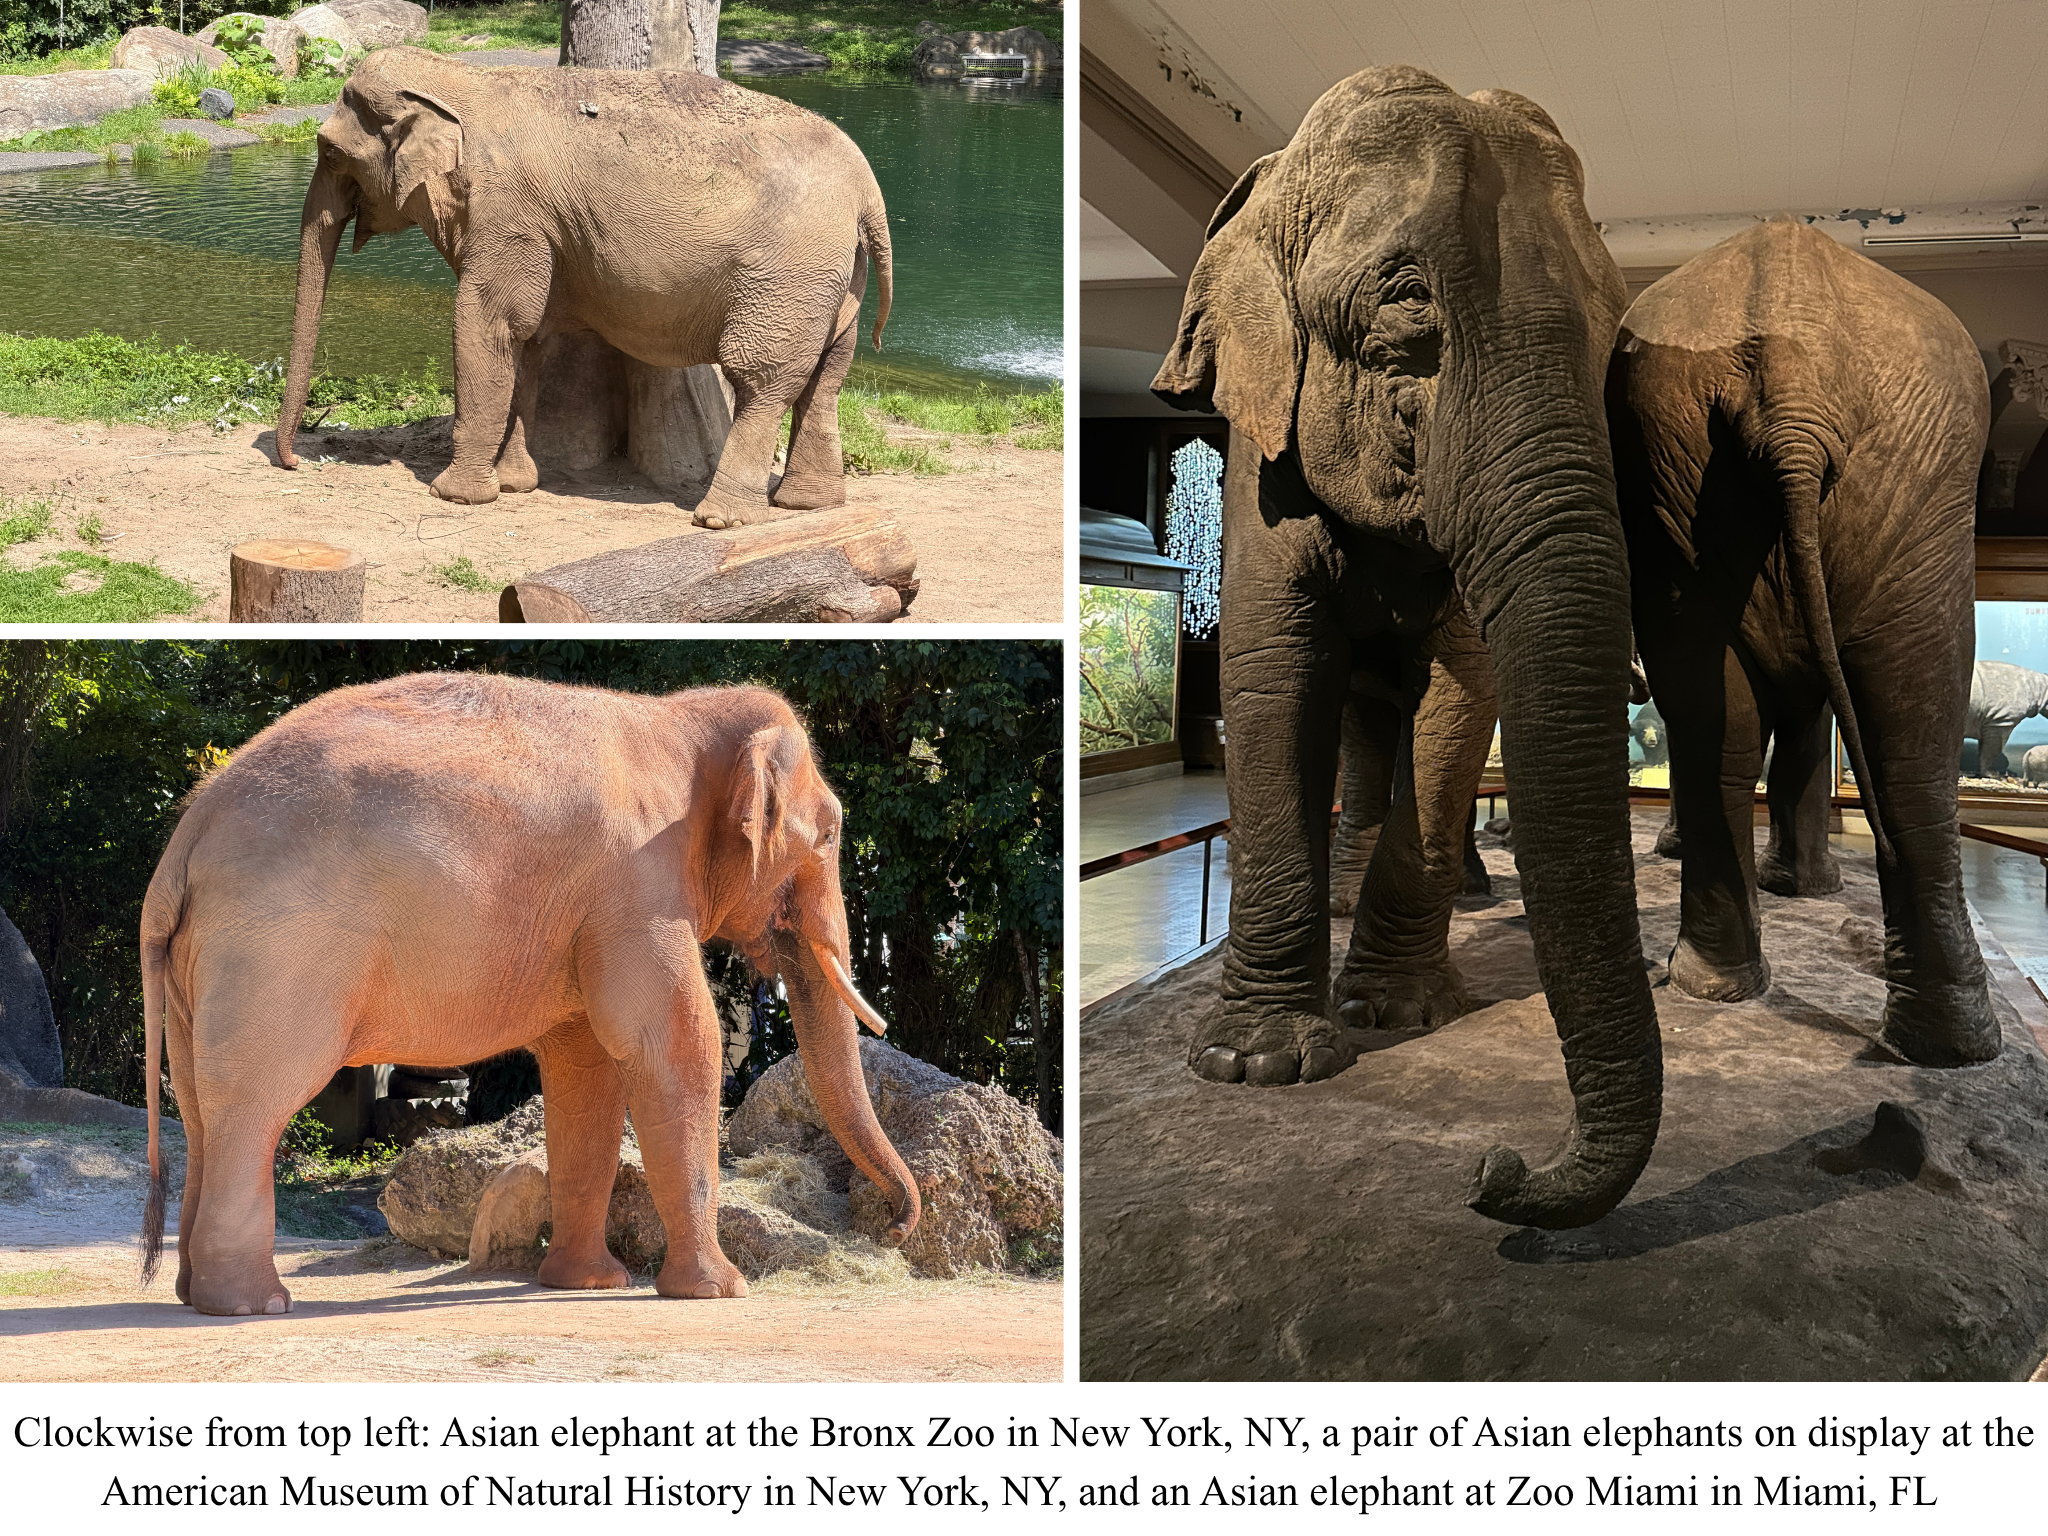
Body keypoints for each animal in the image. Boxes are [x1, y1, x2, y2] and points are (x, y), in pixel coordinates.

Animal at [138, 674, 919, 1317]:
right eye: (831, 835)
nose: (896, 1226)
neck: (680, 717)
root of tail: (184, 840)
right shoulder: (637, 890)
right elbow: (674, 1044)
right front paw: (721, 1292)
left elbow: (587, 1072)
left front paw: (589, 1285)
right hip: (278, 955)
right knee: (257, 1106)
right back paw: (255, 1304)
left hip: (202, 968)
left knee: (201, 1109)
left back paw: (192, 1294)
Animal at [278, 47, 892, 529]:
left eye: (329, 152)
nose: (294, 462)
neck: (462, 76)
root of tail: (870, 192)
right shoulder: (540, 230)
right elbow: (528, 338)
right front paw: (516, 484)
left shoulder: (509, 215)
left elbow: (488, 323)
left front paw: (457, 495)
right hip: (837, 279)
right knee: (826, 379)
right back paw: (809, 505)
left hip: (785, 274)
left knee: (761, 379)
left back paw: (721, 518)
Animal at [1153, 66, 1662, 1230]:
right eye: (1399, 312)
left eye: (1611, 339)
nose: (1494, 1170)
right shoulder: (1260, 460)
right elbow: (1272, 675)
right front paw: (1256, 1065)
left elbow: (1461, 687)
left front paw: (1397, 1013)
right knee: (1348, 718)